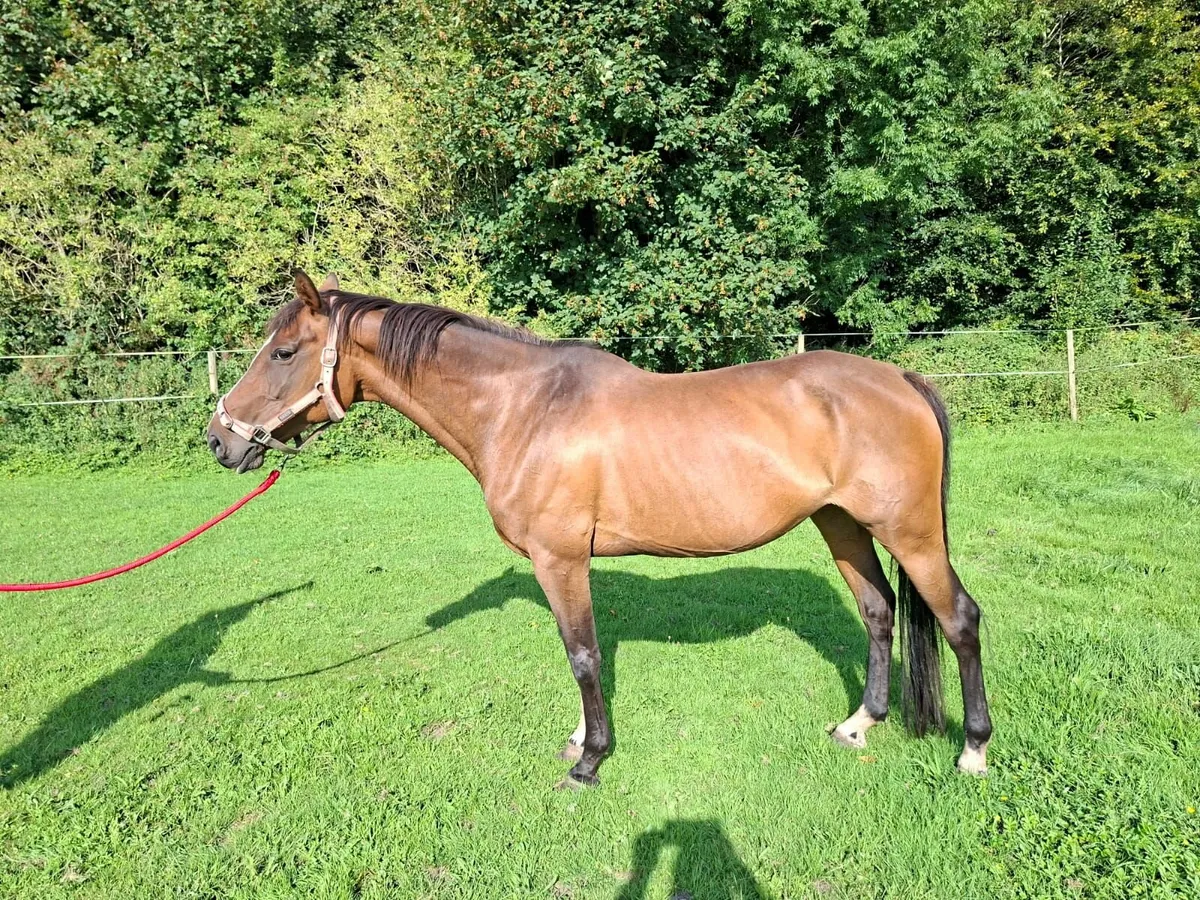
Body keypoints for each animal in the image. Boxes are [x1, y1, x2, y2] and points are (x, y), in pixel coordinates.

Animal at [207, 271, 992, 787]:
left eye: (282, 353)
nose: (220, 441)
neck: (525, 407)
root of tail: (898, 376)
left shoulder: (559, 559)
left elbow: (582, 655)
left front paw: (589, 760)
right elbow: (580, 653)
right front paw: (581, 739)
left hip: (911, 532)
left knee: (959, 619)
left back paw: (974, 751)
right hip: (842, 526)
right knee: (879, 611)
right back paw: (860, 724)